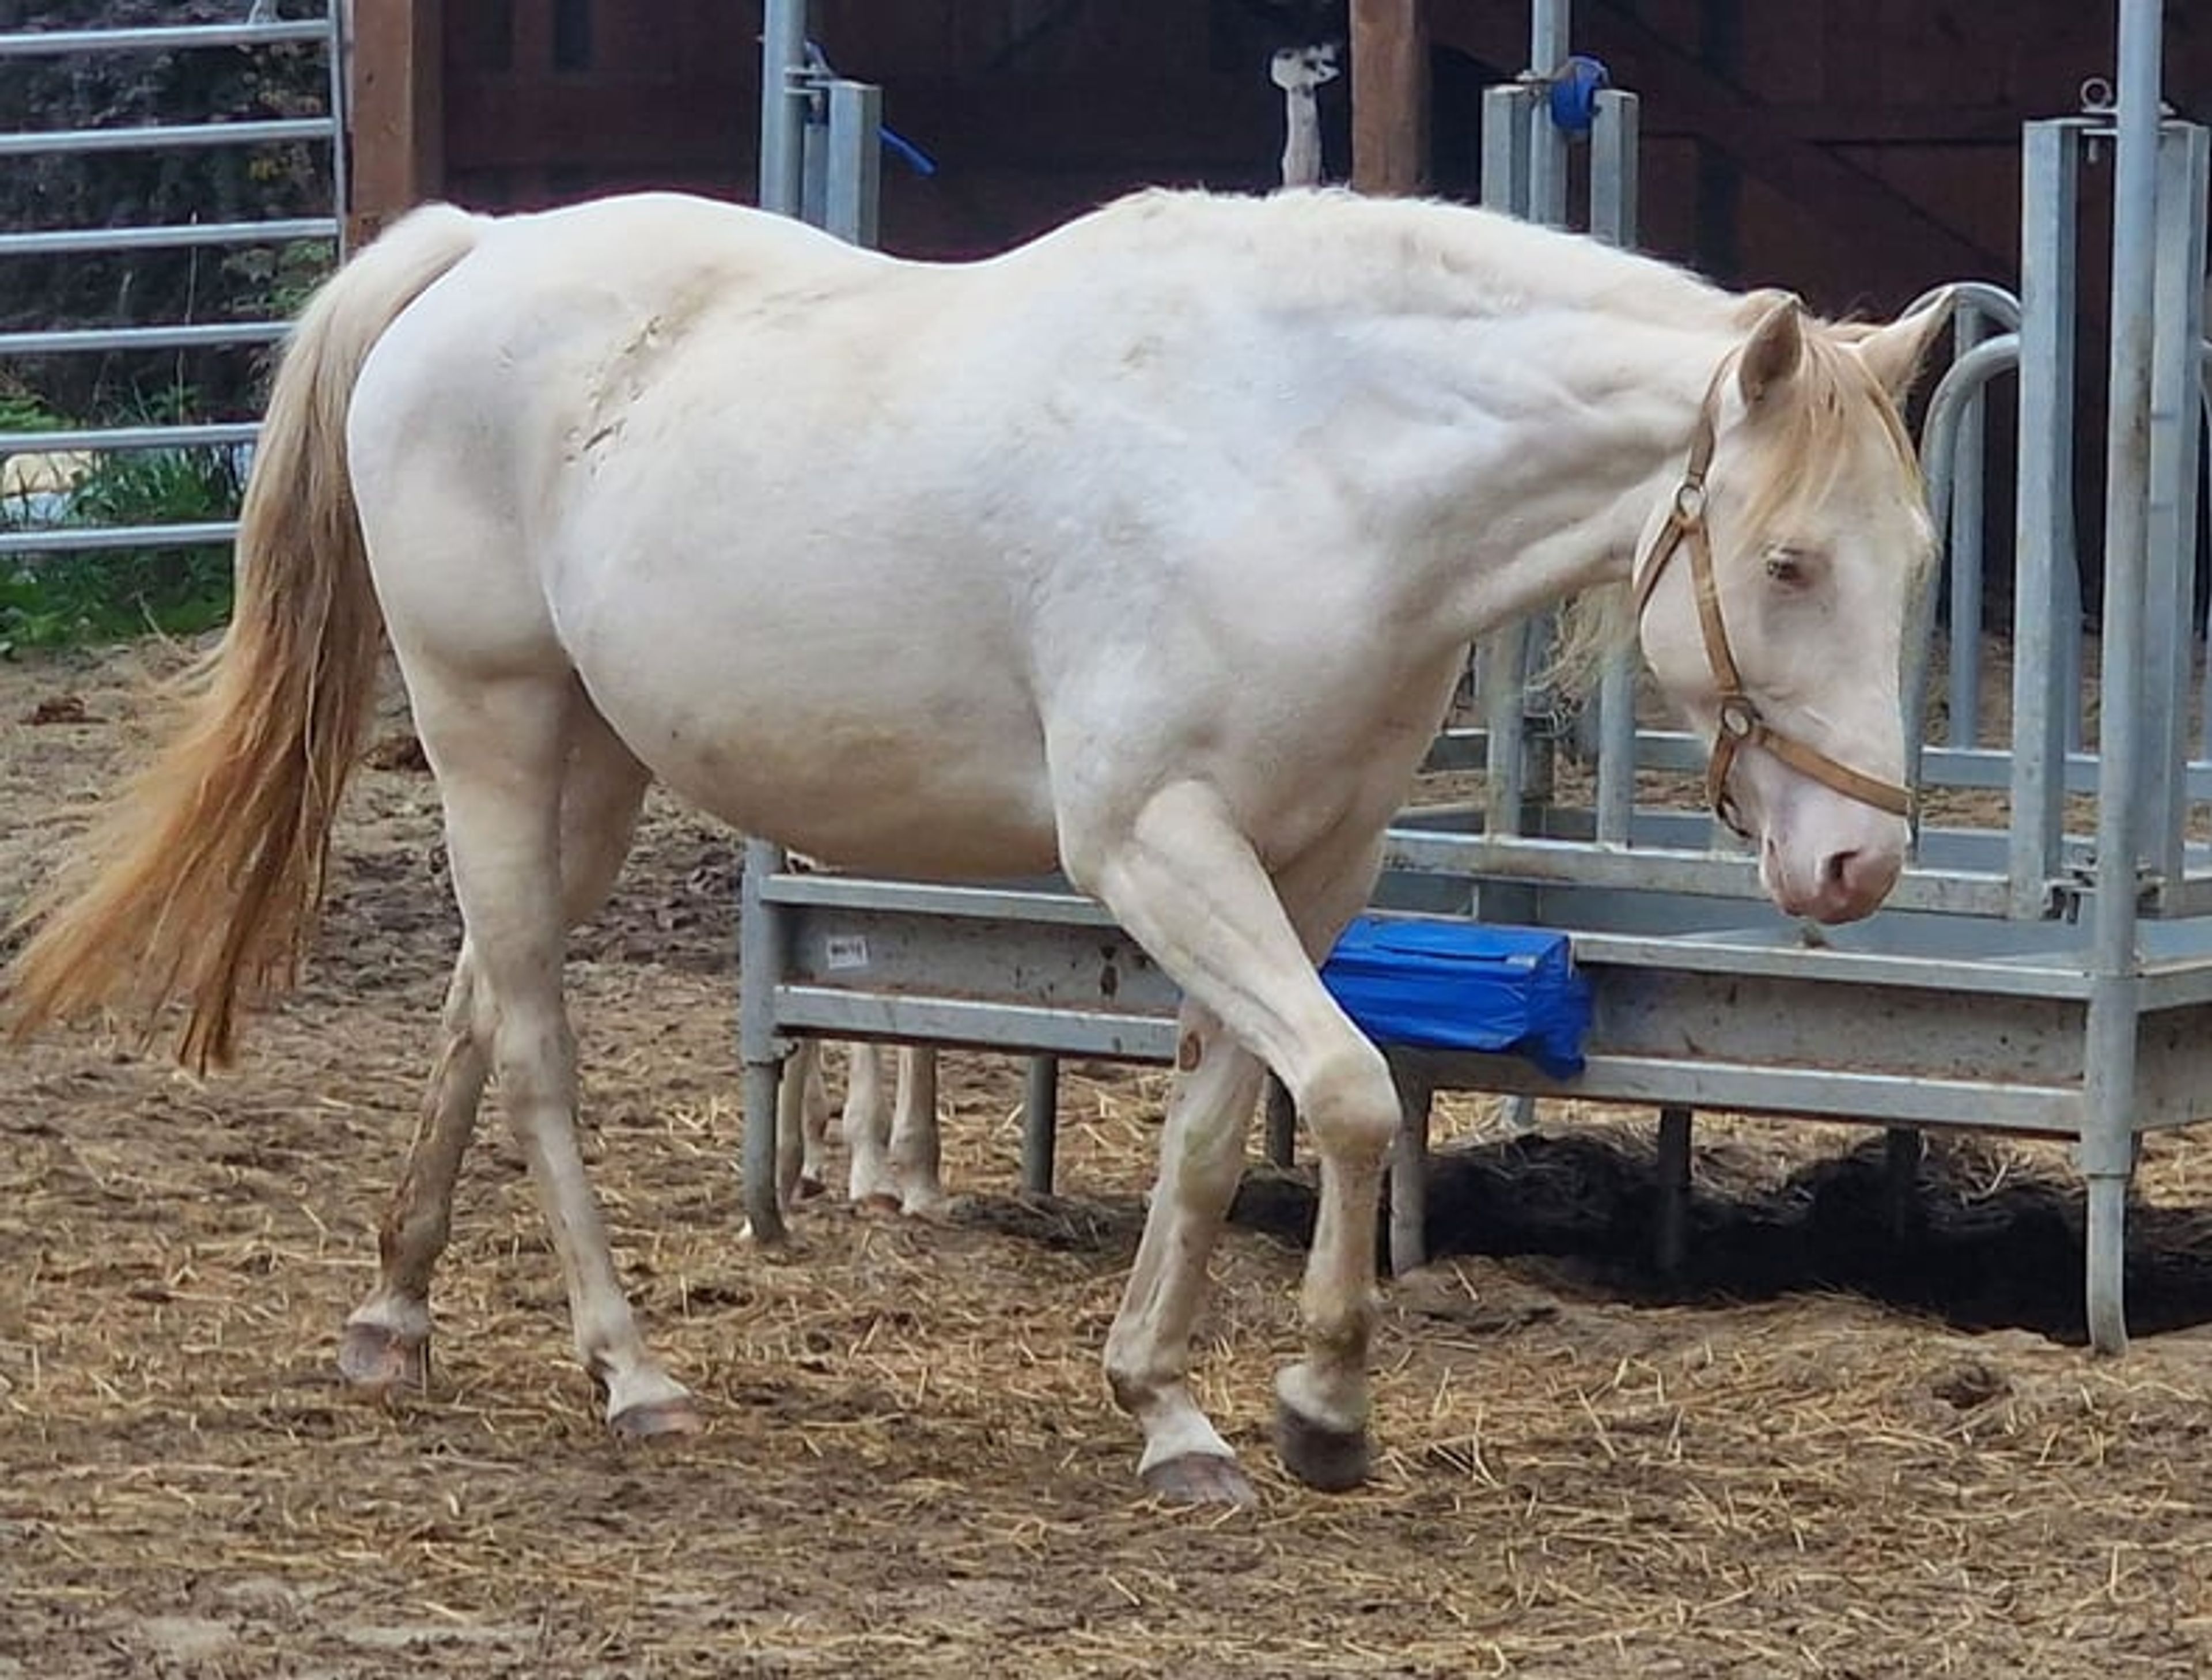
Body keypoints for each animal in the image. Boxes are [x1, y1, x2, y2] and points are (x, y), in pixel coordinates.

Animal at [5, 186, 1950, 1507]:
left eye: (1922, 558)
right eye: (1788, 563)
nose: (1856, 866)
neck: (1307, 458)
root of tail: (474, 258)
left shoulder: (1302, 865)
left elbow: (1212, 1125)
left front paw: (1169, 1408)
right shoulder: (1153, 846)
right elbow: (1341, 1095)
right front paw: (1320, 1405)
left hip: (588, 773)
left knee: (479, 1001)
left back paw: (394, 1321)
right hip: (490, 726)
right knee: (540, 1038)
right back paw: (628, 1370)